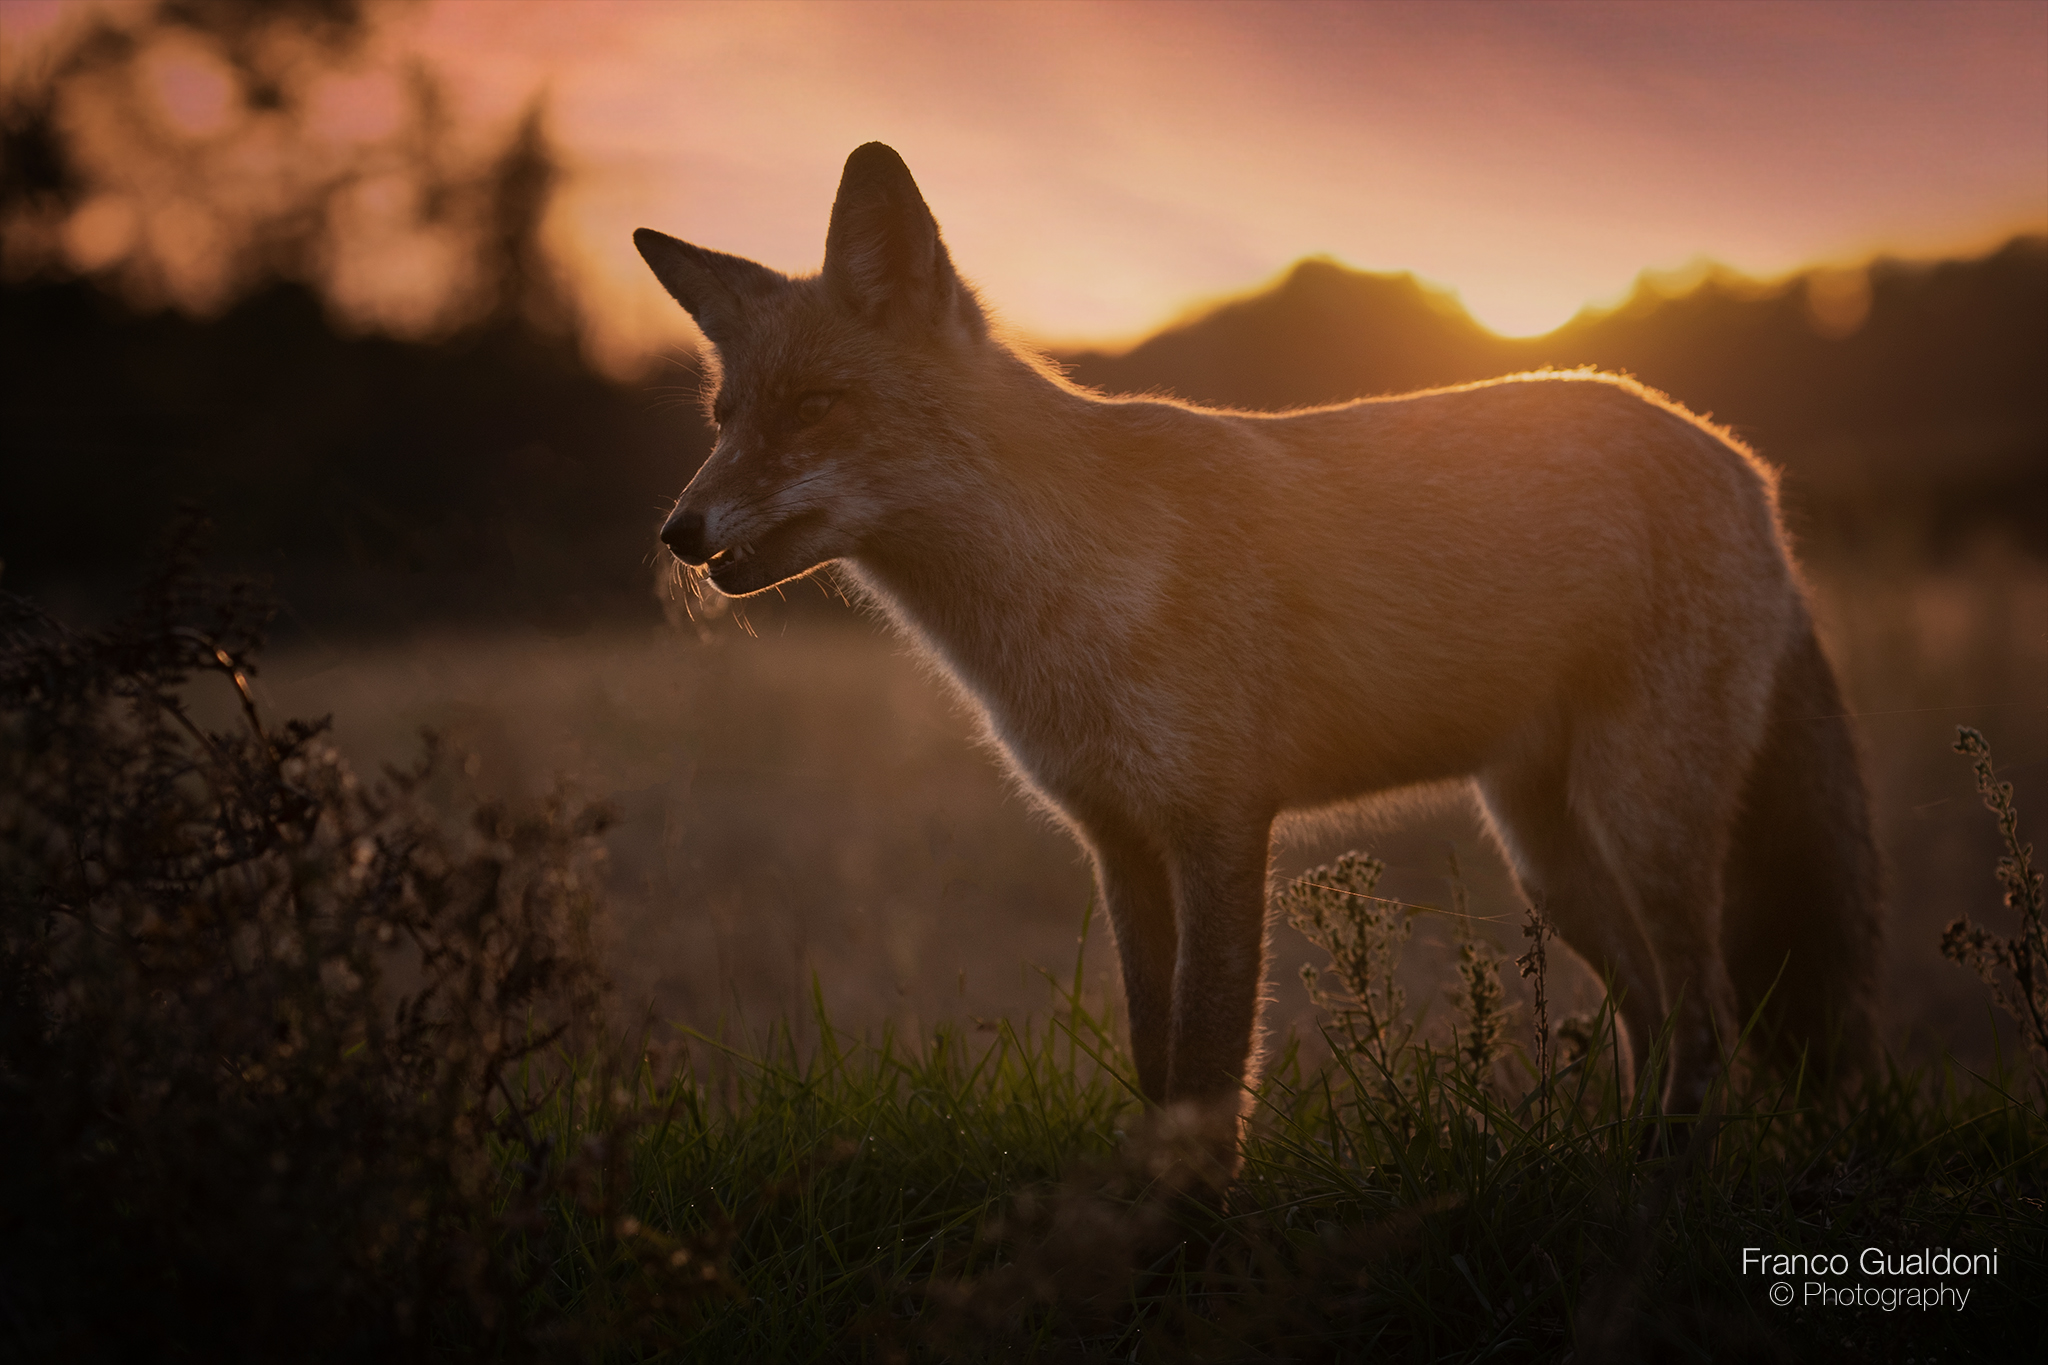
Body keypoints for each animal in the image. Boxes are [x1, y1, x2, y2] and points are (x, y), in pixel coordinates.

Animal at [632, 142, 1880, 1175]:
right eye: (725, 417)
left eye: (815, 408)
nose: (676, 533)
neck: (1048, 614)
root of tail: (1741, 466)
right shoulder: (1120, 846)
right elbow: (1155, 1066)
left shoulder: (1221, 828)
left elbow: (1206, 1074)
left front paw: (1188, 1244)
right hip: (1546, 852)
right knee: (1655, 1015)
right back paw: (1611, 1176)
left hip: (1641, 818)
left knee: (1706, 1019)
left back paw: (1660, 1192)